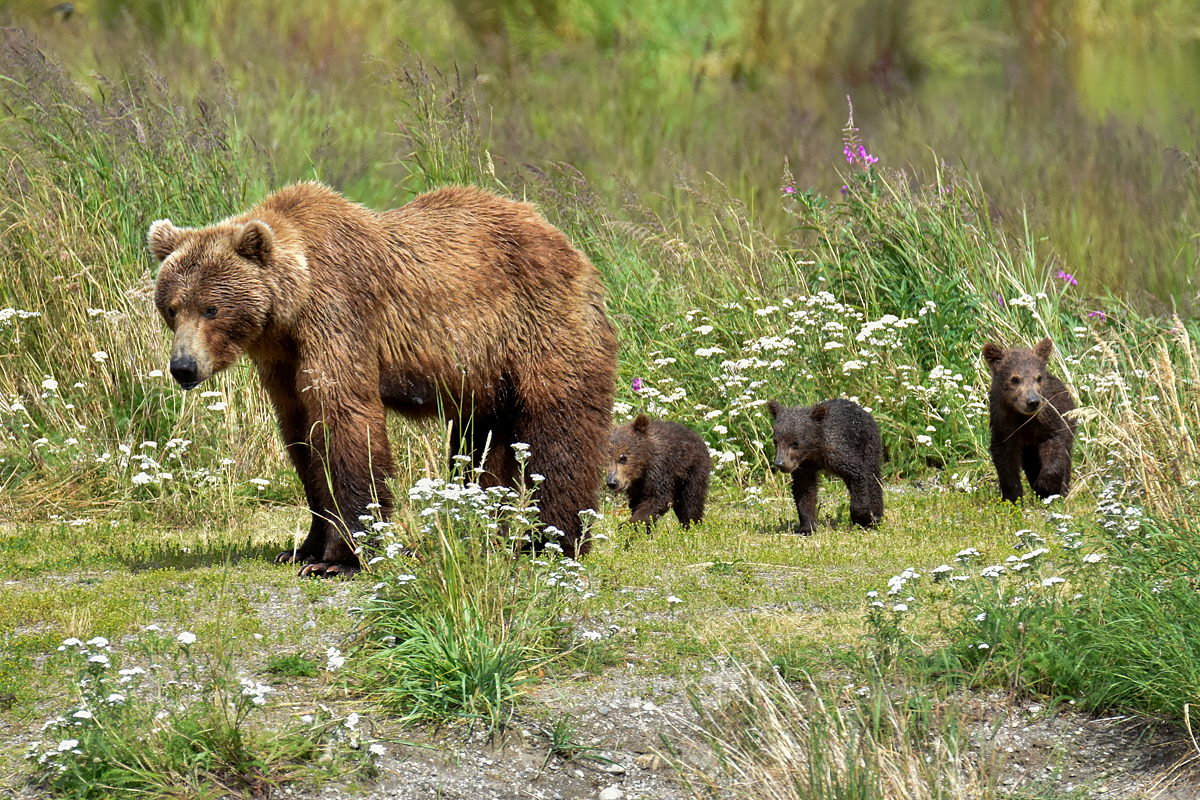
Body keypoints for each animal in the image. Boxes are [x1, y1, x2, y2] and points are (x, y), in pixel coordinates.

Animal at [150, 182, 619, 575]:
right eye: (171, 308)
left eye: (211, 308)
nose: (184, 366)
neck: (290, 309)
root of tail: (566, 243)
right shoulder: (282, 359)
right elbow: (303, 440)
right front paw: (301, 548)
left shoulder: (339, 315)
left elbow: (345, 421)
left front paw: (338, 560)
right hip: (485, 372)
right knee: (481, 442)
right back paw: (478, 531)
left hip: (540, 328)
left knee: (560, 429)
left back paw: (551, 542)